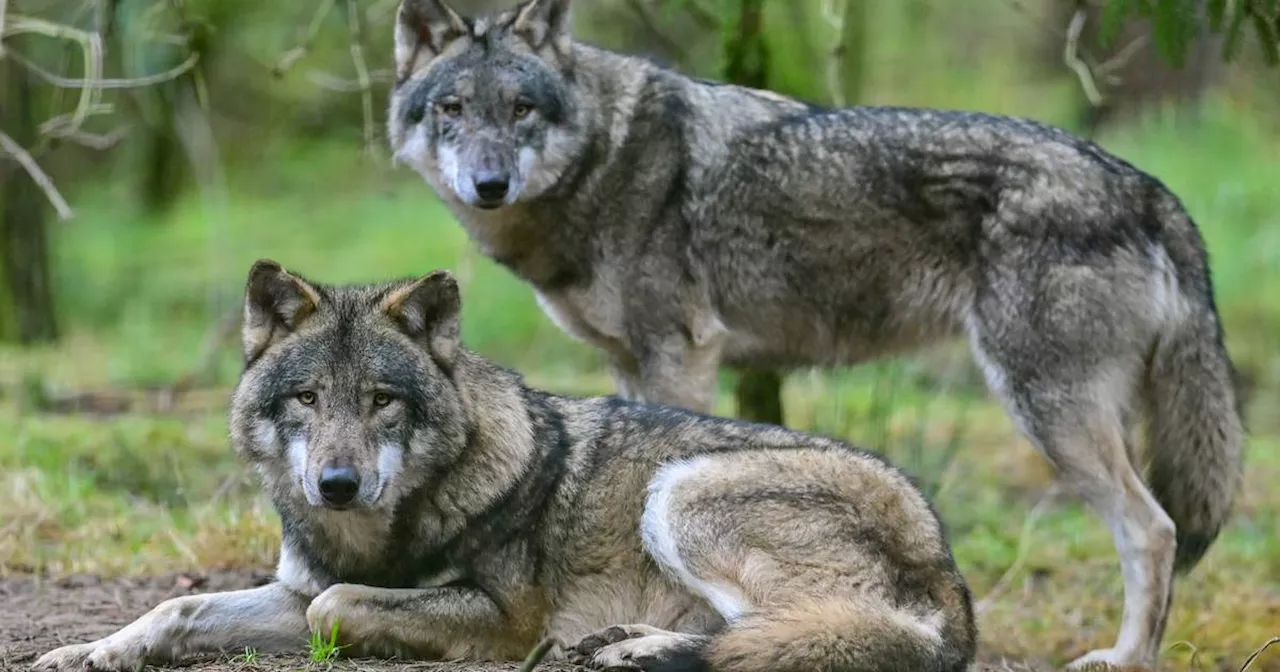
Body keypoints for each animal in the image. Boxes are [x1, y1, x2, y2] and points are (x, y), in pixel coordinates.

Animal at [35, 259, 977, 665]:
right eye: (306, 399)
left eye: (382, 400)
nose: (336, 484)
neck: (383, 533)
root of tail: (951, 572)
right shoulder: (294, 588)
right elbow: (178, 609)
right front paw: (86, 653)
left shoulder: (503, 619)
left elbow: (337, 609)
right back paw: (632, 647)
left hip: (682, 491)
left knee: (823, 637)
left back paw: (644, 653)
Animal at [384, 0, 1244, 665]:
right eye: (452, 110)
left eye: (520, 110)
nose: (489, 184)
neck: (606, 157)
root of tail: (1145, 184)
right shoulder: (634, 365)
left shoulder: (681, 353)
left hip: (1047, 411)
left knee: (1154, 531)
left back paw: (1126, 658)